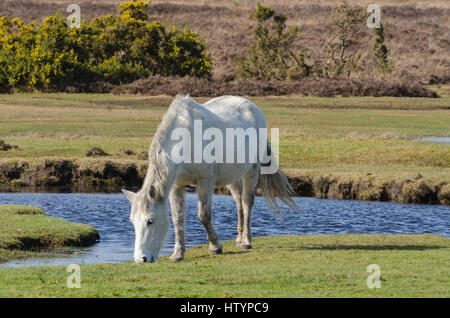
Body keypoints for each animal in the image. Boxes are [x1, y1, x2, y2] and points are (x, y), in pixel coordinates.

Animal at [123, 94, 298, 264]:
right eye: (132, 222)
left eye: (150, 221)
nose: (141, 258)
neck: (186, 139)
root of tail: (252, 106)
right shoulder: (176, 186)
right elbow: (177, 219)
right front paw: (178, 253)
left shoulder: (205, 182)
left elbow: (204, 216)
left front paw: (215, 246)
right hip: (232, 177)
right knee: (239, 202)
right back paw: (239, 239)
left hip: (252, 170)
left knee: (247, 202)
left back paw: (246, 241)